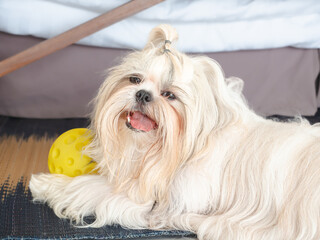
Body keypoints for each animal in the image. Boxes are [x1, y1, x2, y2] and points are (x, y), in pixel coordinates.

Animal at [29, 25, 320, 239]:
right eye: (135, 79)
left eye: (170, 95)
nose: (142, 94)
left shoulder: (152, 199)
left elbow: (86, 187)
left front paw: (45, 184)